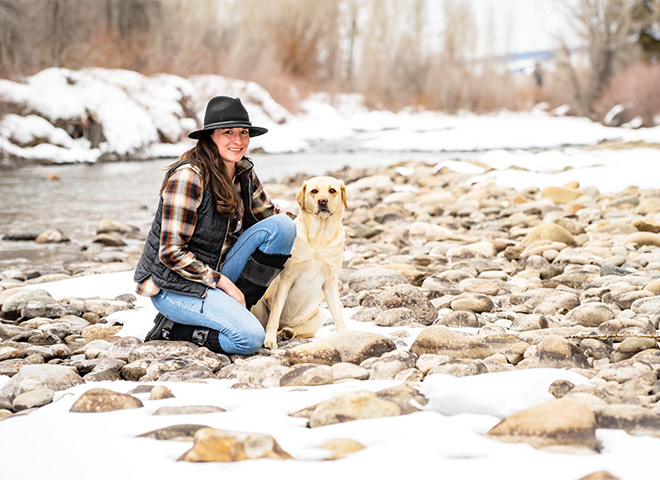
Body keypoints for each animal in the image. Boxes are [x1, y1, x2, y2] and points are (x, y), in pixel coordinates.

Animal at [250, 176, 348, 348]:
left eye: (332, 191)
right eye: (314, 191)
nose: (322, 201)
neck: (319, 238)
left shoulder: (330, 282)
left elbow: (338, 315)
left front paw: (345, 336)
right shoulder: (286, 279)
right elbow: (274, 316)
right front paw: (270, 340)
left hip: (320, 316)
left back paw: (287, 332)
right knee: (267, 323)